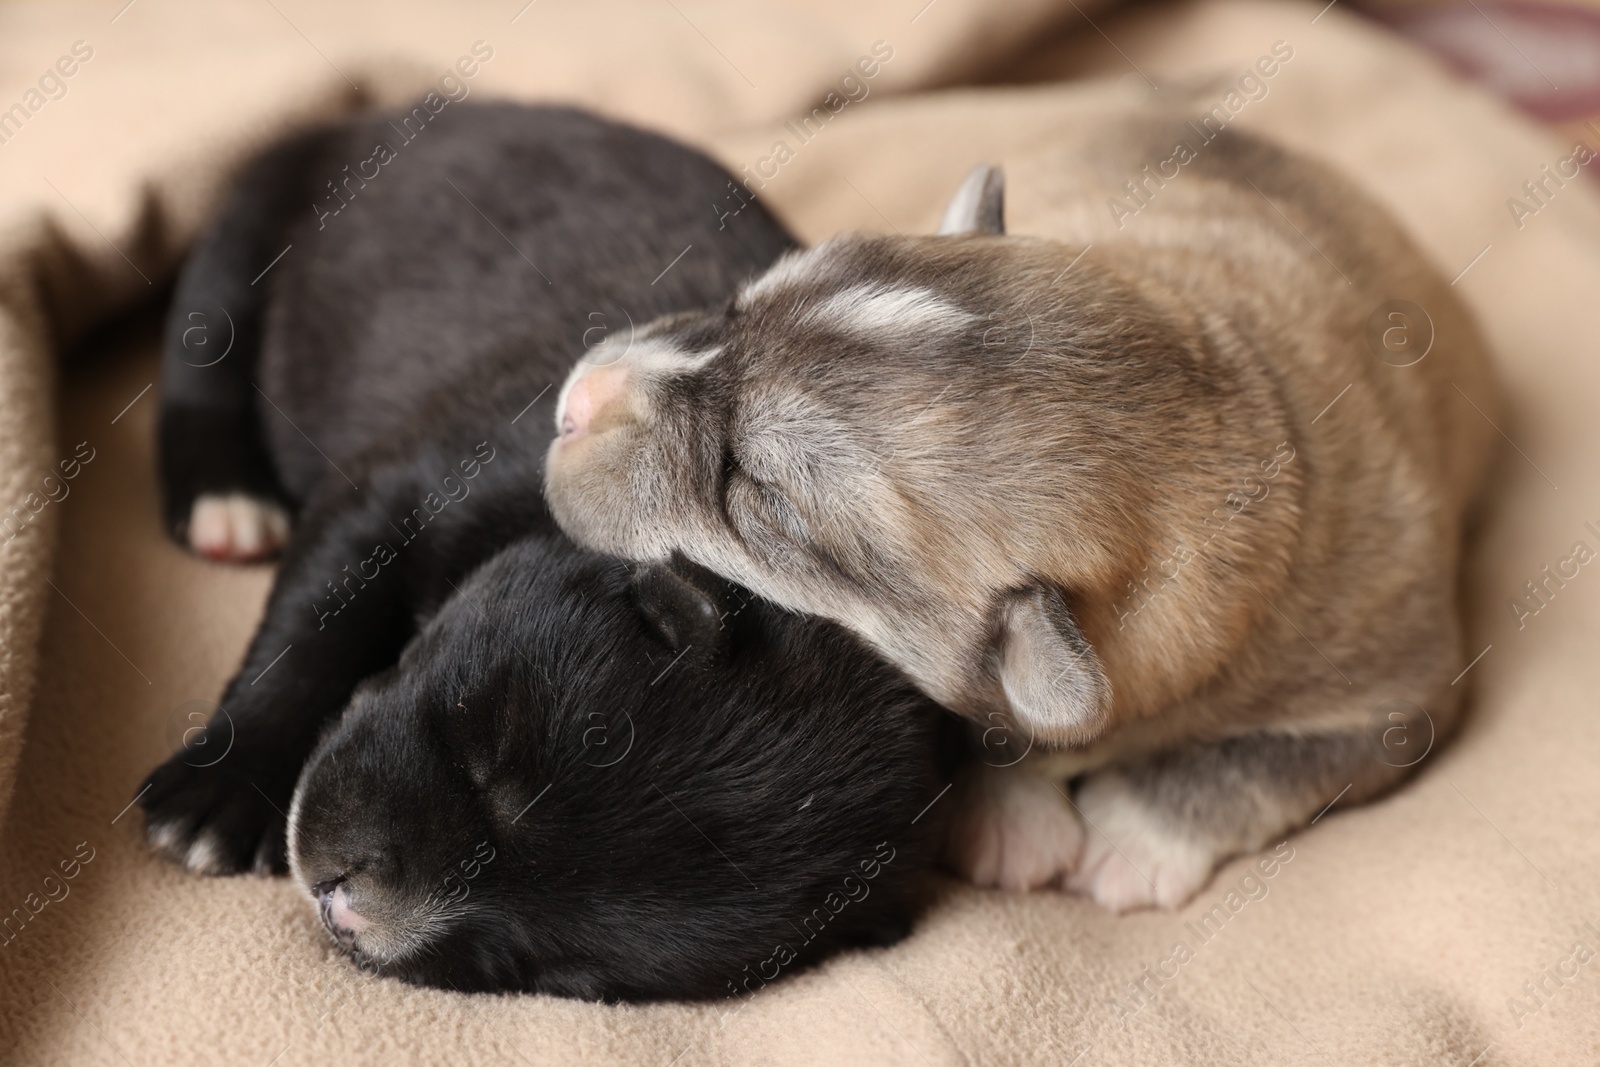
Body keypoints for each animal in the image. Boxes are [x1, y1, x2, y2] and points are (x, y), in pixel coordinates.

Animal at [137, 106, 947, 1004]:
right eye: (480, 757)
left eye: (553, 969)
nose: (342, 906)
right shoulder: (406, 484)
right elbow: (312, 626)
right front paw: (216, 791)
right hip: (251, 224)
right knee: (203, 351)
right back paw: (227, 500)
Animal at [547, 106, 1497, 908]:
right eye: (735, 305)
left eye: (755, 491)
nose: (574, 405)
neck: (1243, 416)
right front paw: (1009, 817)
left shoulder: (1396, 699)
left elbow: (1263, 761)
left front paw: (1133, 840)